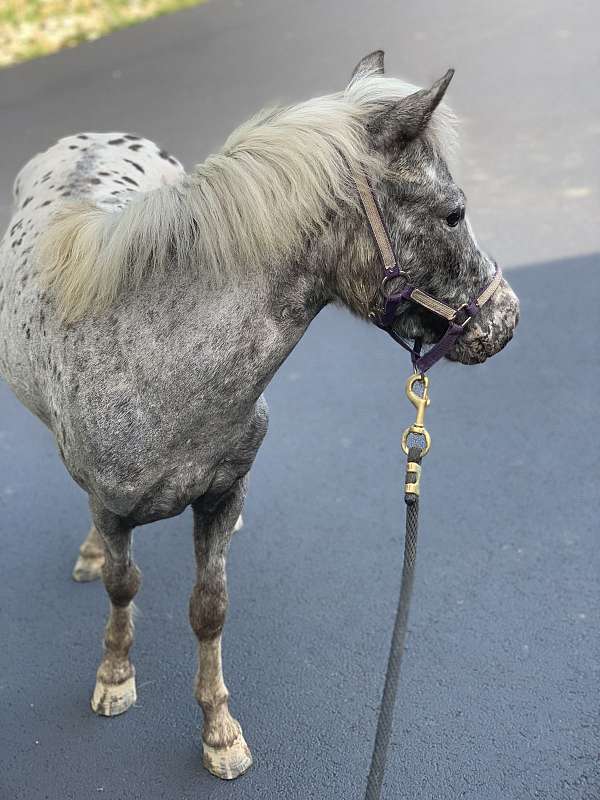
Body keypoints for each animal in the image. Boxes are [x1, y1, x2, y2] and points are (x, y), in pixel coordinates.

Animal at [0, 53, 516, 780]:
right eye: (453, 212)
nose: (507, 319)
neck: (153, 358)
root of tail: (87, 135)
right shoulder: (113, 505)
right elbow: (124, 585)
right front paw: (115, 677)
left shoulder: (220, 494)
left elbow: (209, 610)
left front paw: (219, 732)